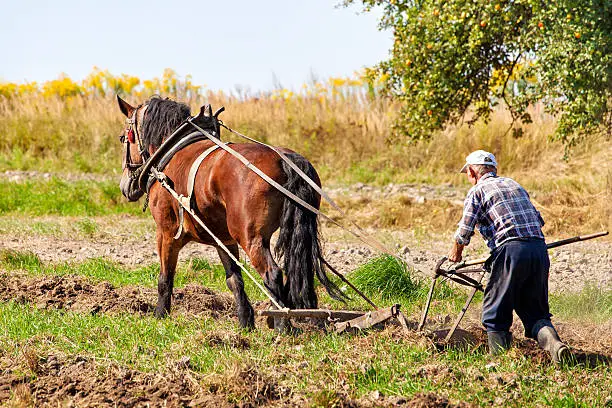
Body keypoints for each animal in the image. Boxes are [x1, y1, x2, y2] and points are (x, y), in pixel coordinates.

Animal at [115, 96, 344, 332]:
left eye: (124, 137)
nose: (125, 186)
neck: (172, 151)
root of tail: (284, 159)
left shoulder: (166, 232)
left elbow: (165, 277)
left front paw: (160, 314)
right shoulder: (224, 240)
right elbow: (234, 280)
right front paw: (245, 321)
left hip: (250, 237)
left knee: (272, 274)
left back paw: (282, 323)